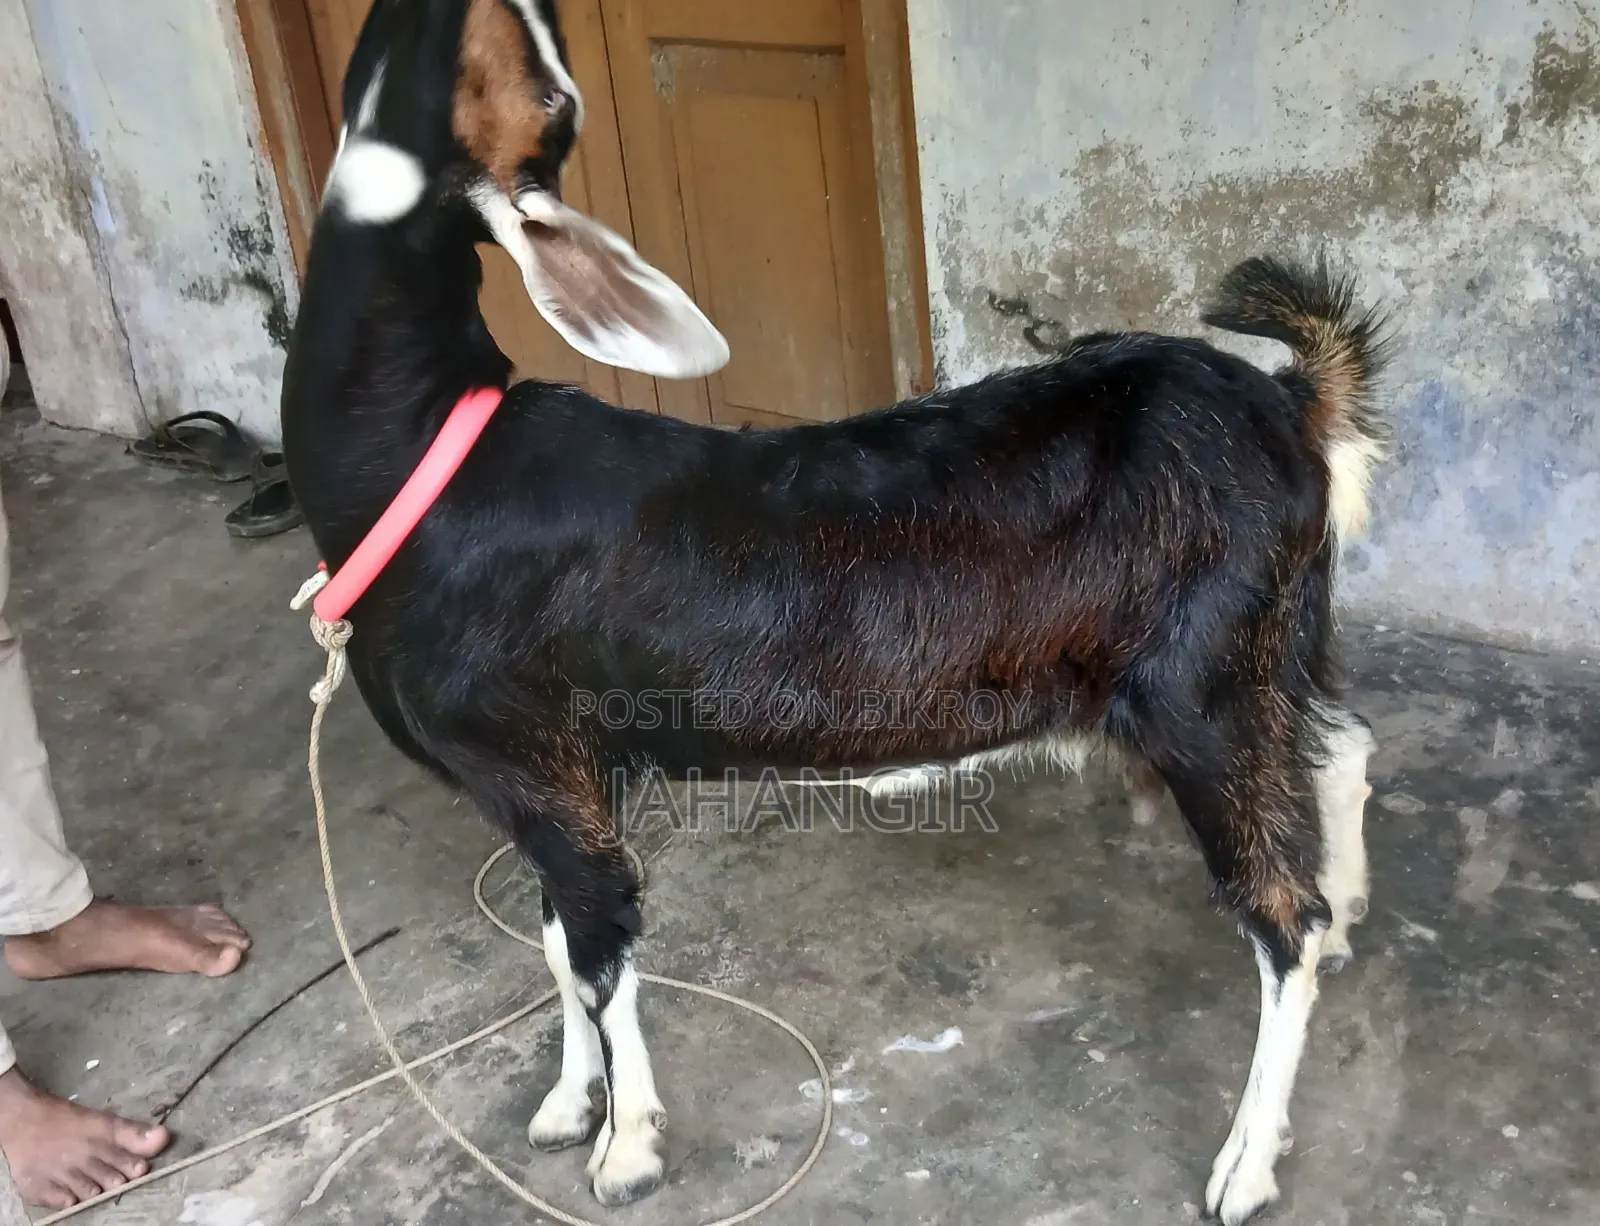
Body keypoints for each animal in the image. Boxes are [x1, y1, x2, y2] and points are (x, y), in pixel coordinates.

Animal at [281, 2, 1389, 1221]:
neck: (424, 454)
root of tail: (1295, 400)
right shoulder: (559, 769)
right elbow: (555, 941)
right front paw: (571, 1104)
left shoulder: (528, 752)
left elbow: (597, 939)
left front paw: (626, 1148)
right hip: (1268, 644)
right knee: (1341, 748)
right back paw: (1348, 911)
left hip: (1201, 683)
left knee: (1282, 915)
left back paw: (1245, 1159)